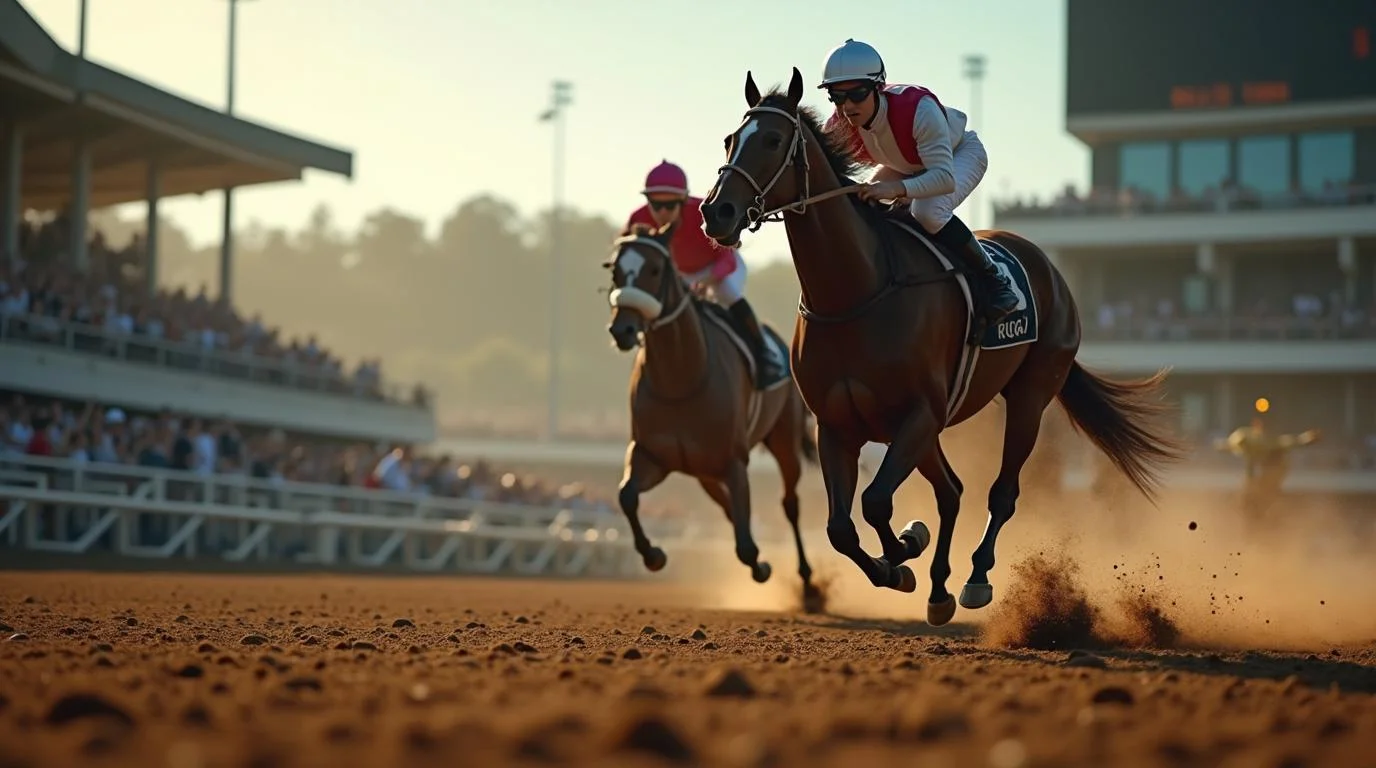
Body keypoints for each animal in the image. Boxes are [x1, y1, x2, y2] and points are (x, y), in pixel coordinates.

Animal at [603, 221, 825, 611]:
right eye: (616, 270)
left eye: (655, 270)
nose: (623, 330)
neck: (680, 380)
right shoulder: (650, 455)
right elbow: (627, 495)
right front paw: (653, 555)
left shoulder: (734, 459)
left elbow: (746, 544)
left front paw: (761, 565)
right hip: (703, 470)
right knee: (727, 505)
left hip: (782, 440)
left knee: (790, 504)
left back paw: (808, 583)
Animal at [698, 68, 1186, 626]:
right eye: (731, 139)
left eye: (774, 141)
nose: (716, 212)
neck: (855, 293)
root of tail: (1048, 267)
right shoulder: (837, 425)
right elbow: (842, 527)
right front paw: (899, 562)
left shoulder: (918, 414)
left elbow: (875, 502)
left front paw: (902, 553)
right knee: (951, 491)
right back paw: (936, 589)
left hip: (1028, 395)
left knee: (1001, 493)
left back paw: (974, 579)